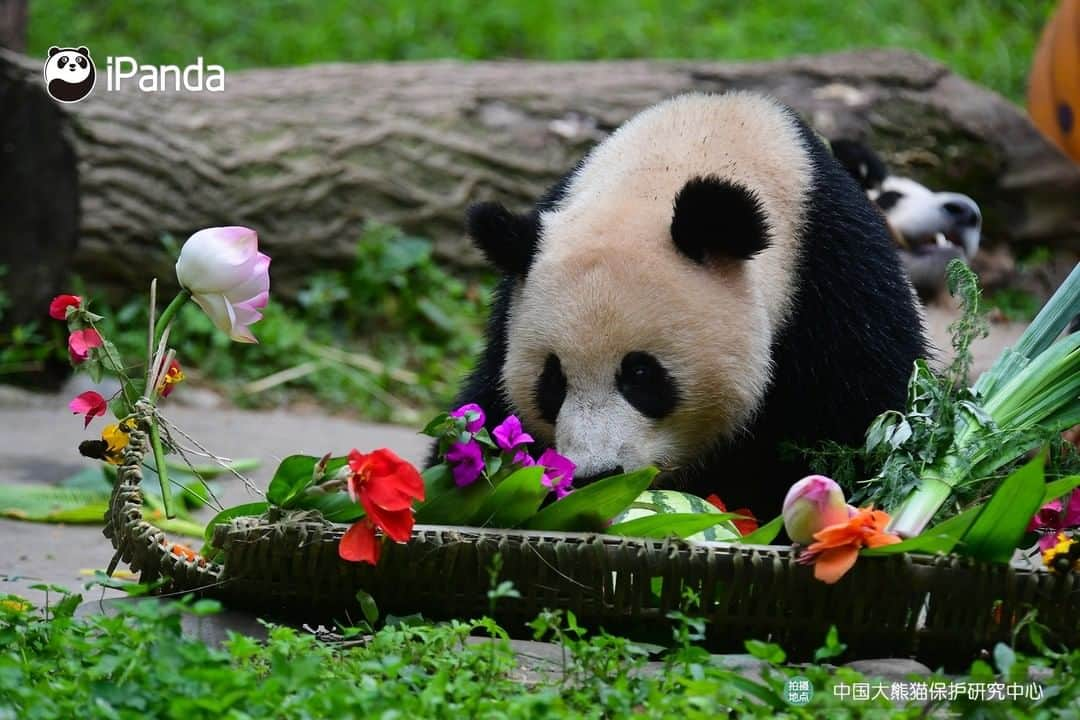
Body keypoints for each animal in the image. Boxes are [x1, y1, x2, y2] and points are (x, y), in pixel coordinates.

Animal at [442, 94, 924, 518]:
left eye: (641, 374)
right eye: (553, 382)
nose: (597, 476)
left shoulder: (833, 283)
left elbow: (858, 420)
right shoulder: (510, 310)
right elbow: (488, 405)